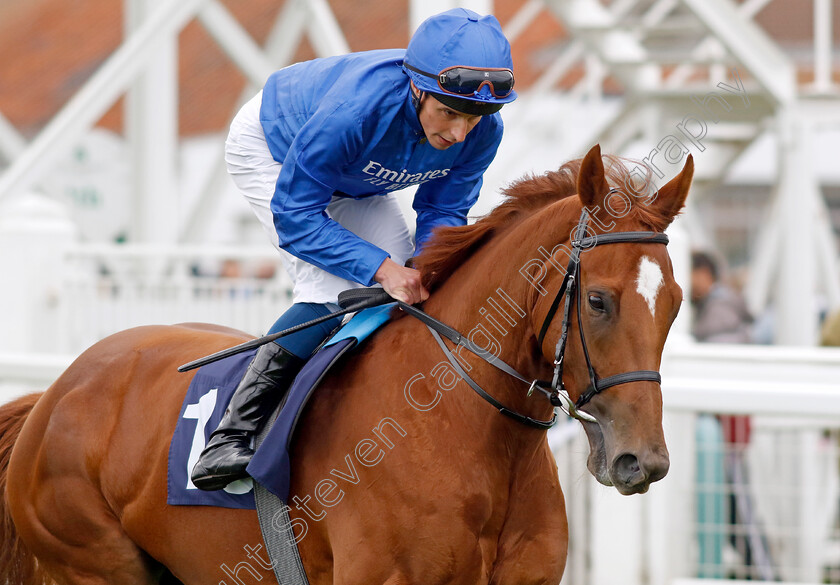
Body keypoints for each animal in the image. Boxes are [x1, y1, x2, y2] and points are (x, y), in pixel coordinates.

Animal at [0, 145, 692, 584]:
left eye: (676, 303)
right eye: (598, 300)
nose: (643, 460)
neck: (458, 431)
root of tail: (53, 395)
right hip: (91, 559)